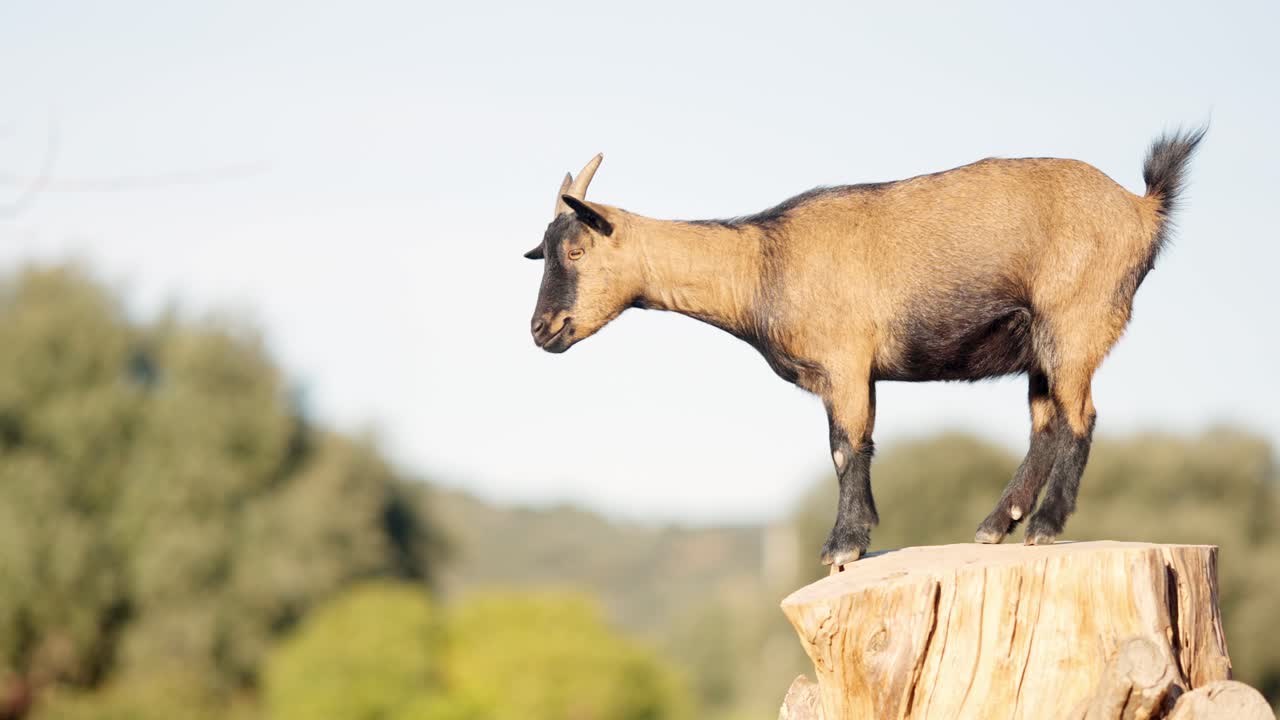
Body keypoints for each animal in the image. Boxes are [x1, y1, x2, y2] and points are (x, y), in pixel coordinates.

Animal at [524, 129, 1205, 567]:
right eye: (545, 252)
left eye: (576, 250)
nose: (541, 329)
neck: (760, 261)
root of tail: (1142, 209)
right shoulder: (854, 373)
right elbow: (852, 446)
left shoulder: (846, 364)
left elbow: (846, 448)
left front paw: (843, 546)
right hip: (1042, 344)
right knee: (1046, 423)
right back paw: (995, 527)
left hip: (1076, 320)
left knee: (1079, 417)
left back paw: (1042, 527)